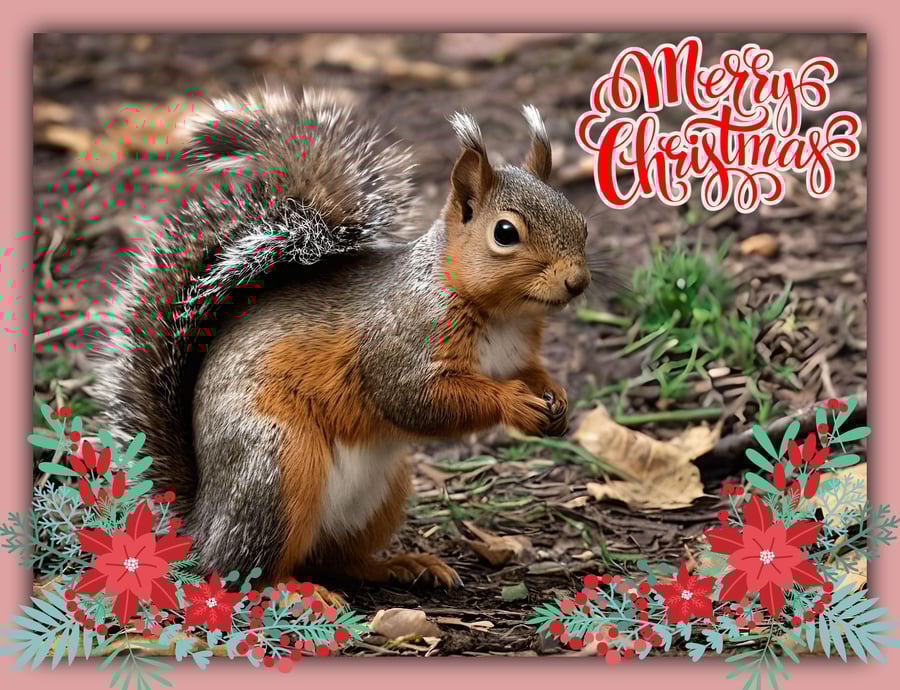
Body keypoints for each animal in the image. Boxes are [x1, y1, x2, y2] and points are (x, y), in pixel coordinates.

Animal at [95, 87, 592, 590]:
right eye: (505, 233)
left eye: (581, 222)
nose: (577, 282)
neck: (503, 316)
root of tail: (200, 524)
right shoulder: (400, 341)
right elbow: (416, 399)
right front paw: (514, 403)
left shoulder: (516, 356)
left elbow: (531, 373)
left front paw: (556, 398)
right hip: (276, 467)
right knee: (244, 572)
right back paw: (297, 592)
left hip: (382, 493)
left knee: (335, 560)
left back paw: (401, 564)